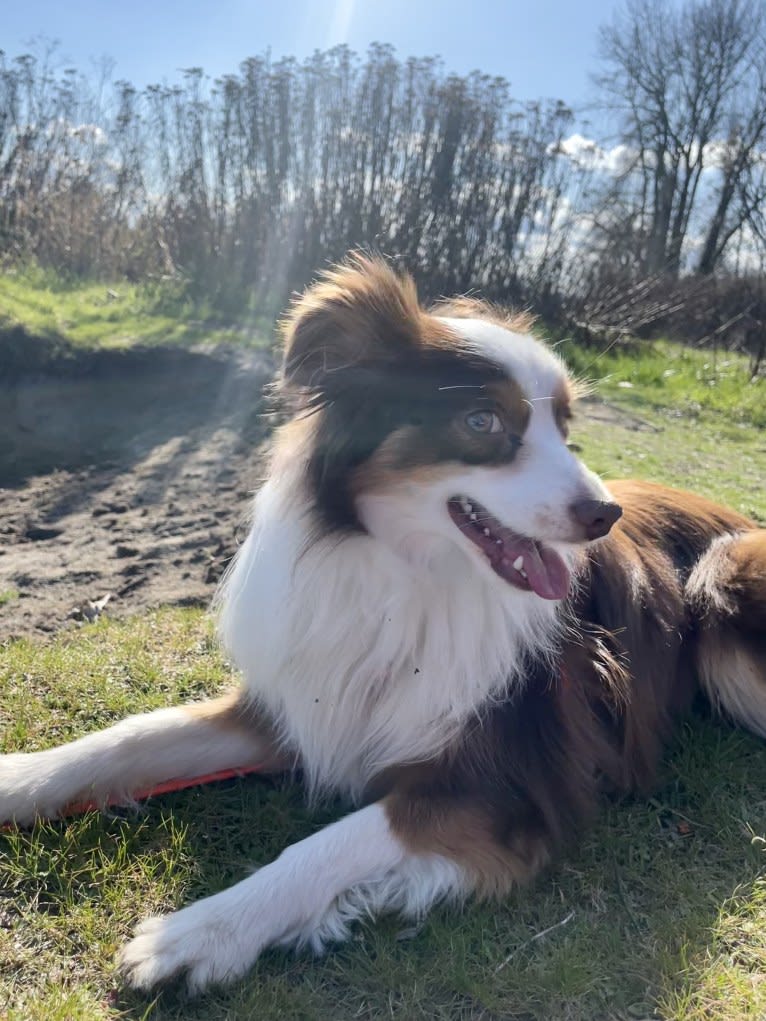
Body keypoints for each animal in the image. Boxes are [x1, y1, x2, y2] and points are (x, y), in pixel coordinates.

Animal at [1, 253, 766, 988]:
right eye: (483, 421)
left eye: (565, 429)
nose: (604, 513)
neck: (407, 572)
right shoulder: (304, 703)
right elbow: (131, 737)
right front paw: (22, 778)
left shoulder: (505, 780)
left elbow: (329, 843)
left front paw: (204, 930)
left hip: (724, 574)